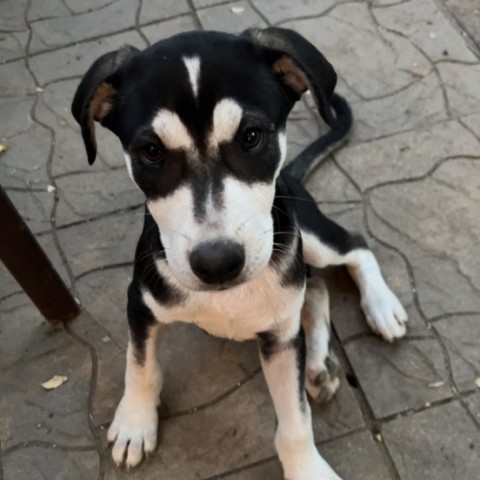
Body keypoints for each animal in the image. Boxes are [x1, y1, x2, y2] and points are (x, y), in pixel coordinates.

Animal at [72, 28, 408, 478]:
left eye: (251, 136)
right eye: (151, 152)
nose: (217, 264)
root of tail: (292, 175)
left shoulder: (281, 338)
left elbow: (295, 423)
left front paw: (306, 469)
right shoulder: (140, 302)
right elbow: (139, 364)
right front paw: (135, 423)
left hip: (307, 234)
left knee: (353, 248)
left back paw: (379, 308)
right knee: (317, 291)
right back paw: (320, 363)